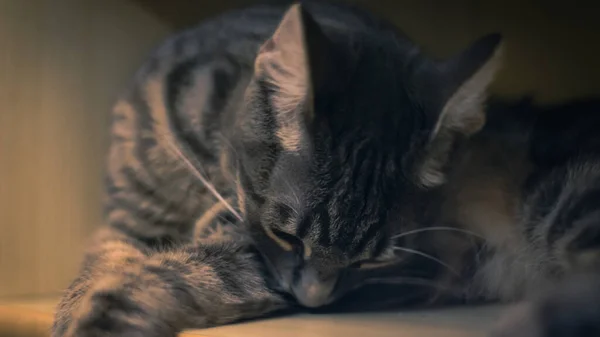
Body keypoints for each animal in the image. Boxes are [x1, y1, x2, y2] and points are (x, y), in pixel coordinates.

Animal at [52, 1, 600, 334]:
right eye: (286, 236)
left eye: (376, 262)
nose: (315, 302)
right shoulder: (126, 219)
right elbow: (105, 258)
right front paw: (79, 298)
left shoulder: (260, 259)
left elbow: (185, 268)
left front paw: (105, 309)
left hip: (566, 204)